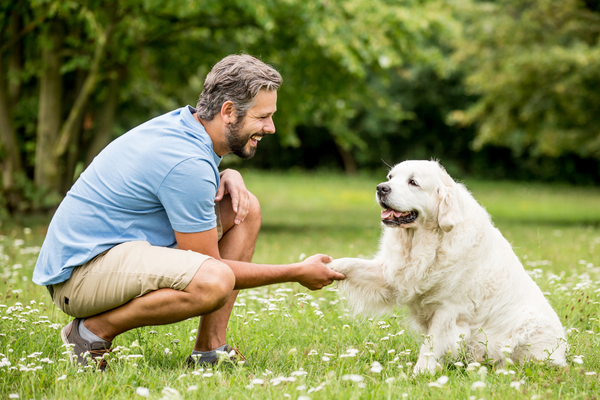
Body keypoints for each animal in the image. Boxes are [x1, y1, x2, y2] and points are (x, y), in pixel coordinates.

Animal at [328, 161, 568, 374]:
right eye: (390, 177)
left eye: (413, 182)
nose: (381, 188)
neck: (425, 242)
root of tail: (564, 353)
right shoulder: (392, 275)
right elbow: (350, 263)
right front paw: (326, 266)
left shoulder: (449, 308)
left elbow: (431, 343)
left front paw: (420, 373)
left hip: (527, 325)